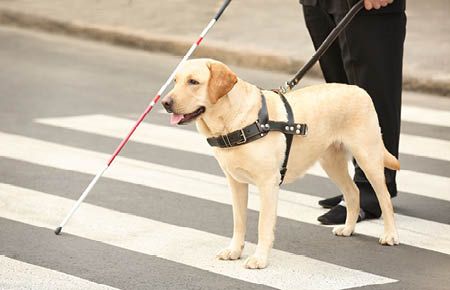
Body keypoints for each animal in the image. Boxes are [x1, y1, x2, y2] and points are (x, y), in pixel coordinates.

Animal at [162, 59, 400, 270]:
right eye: (175, 81)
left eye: (193, 81)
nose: (165, 103)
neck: (234, 122)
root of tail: (359, 90)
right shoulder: (236, 183)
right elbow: (239, 221)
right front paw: (234, 251)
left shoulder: (268, 184)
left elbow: (263, 225)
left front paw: (259, 259)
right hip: (331, 161)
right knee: (352, 192)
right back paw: (348, 228)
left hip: (368, 156)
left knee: (384, 197)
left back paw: (390, 235)